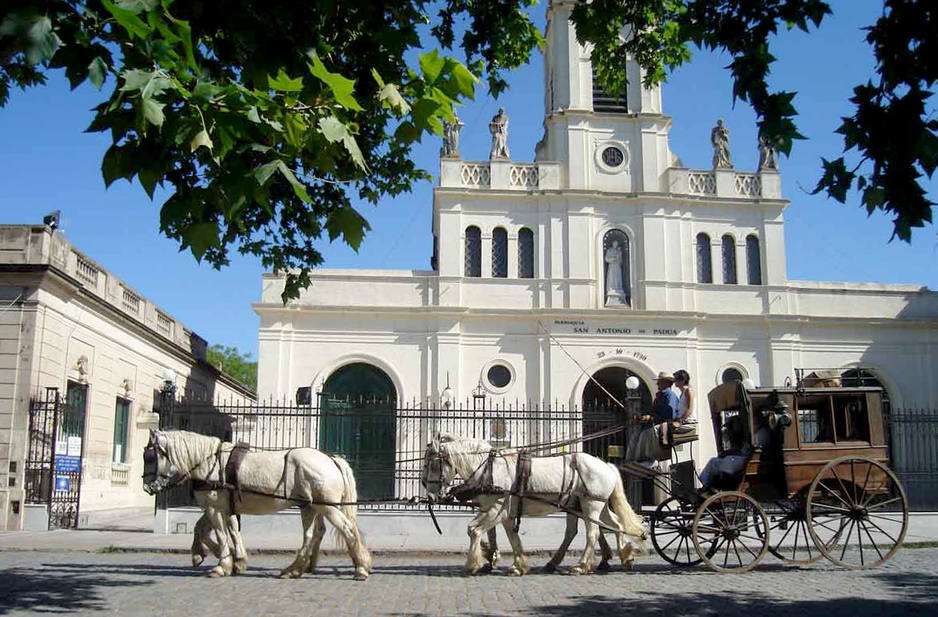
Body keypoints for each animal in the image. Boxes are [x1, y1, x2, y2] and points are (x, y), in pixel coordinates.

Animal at [143, 428, 370, 576]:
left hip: (326, 506)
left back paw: (360, 567)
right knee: (313, 534)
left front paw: (222, 564)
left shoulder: (213, 507)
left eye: (149, 457)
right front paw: (219, 557)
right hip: (311, 506)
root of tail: (331, 459)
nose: (147, 487)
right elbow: (212, 530)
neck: (210, 462)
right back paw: (298, 568)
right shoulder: (221, 507)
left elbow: (220, 534)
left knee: (346, 528)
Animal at [422, 434, 644, 572]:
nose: (431, 496)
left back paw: (582, 565)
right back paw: (624, 556)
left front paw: (473, 563)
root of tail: (606, 464)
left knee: (594, 532)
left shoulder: (497, 509)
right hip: (591, 504)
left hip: (591, 505)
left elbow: (474, 530)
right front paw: (516, 564)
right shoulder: (504, 513)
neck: (488, 468)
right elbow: (511, 537)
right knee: (614, 525)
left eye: (432, 464)